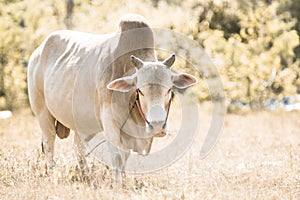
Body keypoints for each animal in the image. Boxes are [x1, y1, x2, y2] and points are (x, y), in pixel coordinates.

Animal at [27, 14, 197, 183]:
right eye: (140, 91)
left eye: (169, 90)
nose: (157, 125)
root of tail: (37, 52)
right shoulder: (109, 122)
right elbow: (118, 156)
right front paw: (118, 183)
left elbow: (125, 156)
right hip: (43, 113)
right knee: (49, 144)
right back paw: (52, 174)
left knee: (78, 147)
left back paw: (85, 174)